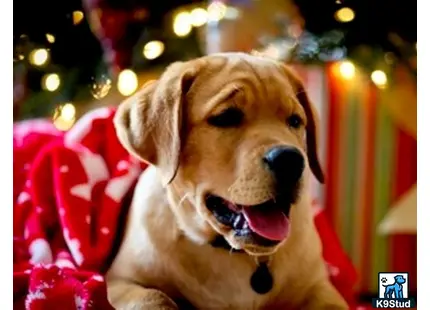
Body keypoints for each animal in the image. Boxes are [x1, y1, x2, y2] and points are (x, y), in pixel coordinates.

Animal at [106, 52, 346, 308]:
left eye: (295, 121)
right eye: (226, 117)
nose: (290, 160)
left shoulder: (319, 286)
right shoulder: (117, 280)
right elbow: (153, 296)